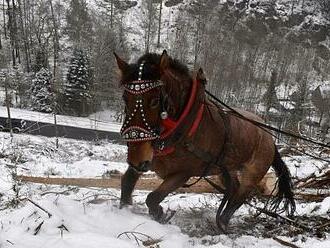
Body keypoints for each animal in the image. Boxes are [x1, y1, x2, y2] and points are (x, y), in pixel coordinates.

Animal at [114, 50, 296, 232]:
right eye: (125, 98)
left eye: (154, 101)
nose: (137, 160)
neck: (183, 124)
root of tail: (269, 137)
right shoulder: (146, 159)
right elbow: (127, 183)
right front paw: (126, 209)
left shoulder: (183, 173)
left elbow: (153, 197)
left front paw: (161, 214)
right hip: (226, 169)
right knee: (234, 188)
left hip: (253, 173)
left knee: (241, 195)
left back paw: (222, 223)